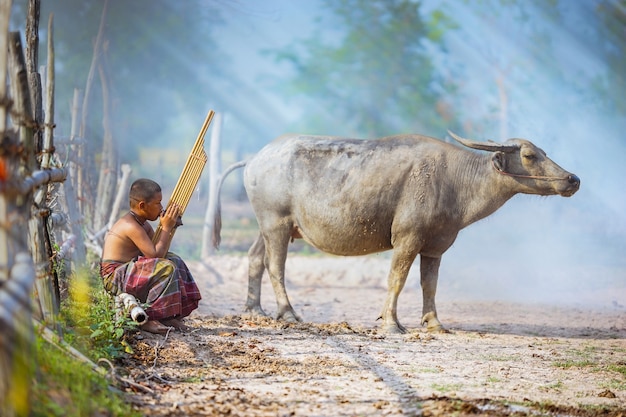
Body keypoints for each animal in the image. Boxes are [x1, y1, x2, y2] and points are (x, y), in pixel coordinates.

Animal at [212, 132, 576, 334]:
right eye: (529, 155)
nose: (573, 179)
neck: (454, 181)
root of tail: (255, 158)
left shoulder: (435, 246)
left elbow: (429, 285)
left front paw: (434, 323)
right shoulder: (407, 239)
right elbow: (397, 280)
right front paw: (391, 323)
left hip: (272, 226)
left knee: (254, 258)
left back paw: (254, 309)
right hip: (275, 223)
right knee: (275, 266)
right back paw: (288, 313)